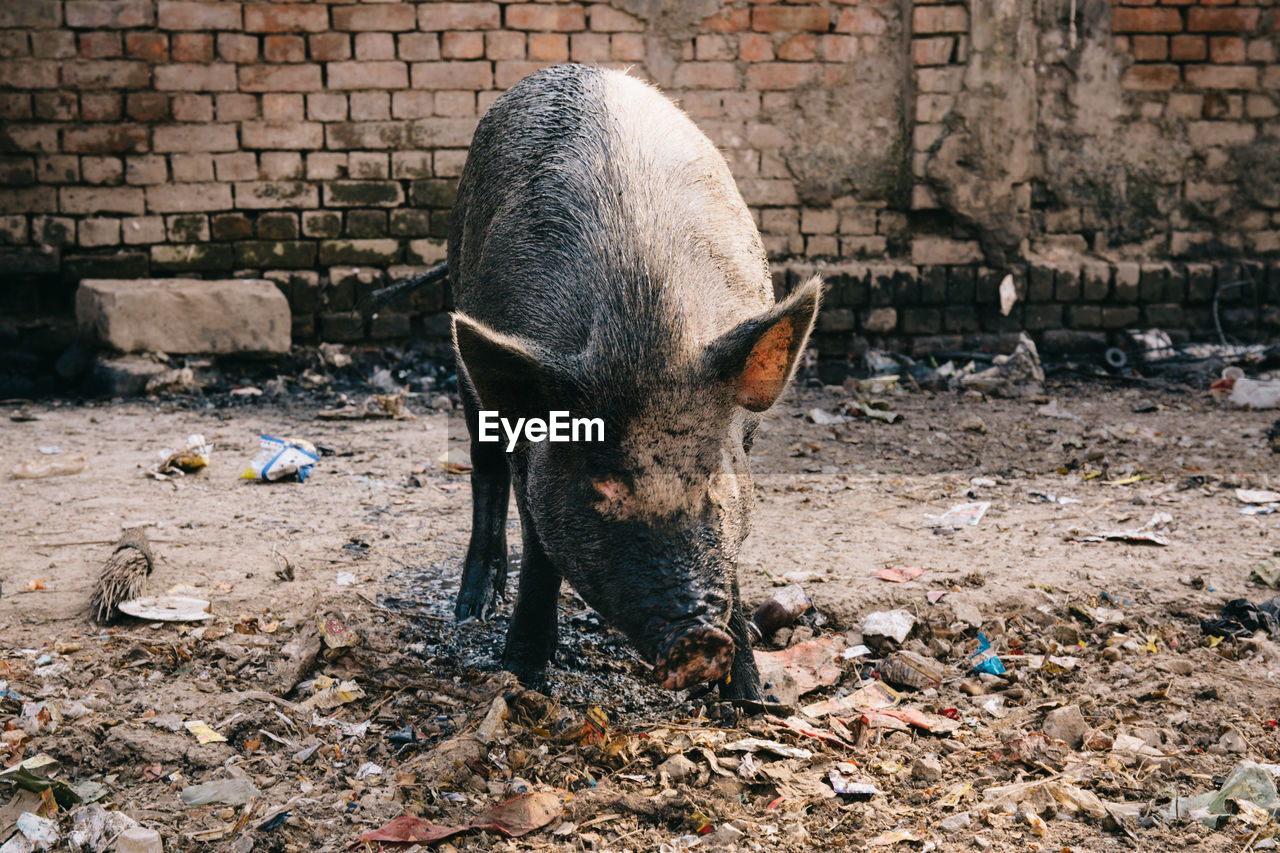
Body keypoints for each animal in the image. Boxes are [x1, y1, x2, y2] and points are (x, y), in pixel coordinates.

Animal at [445, 64, 814, 696]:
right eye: (601, 484)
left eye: (714, 479)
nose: (698, 639)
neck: (643, 330)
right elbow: (540, 547)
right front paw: (520, 675)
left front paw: (753, 697)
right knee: (483, 465)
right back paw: (472, 610)